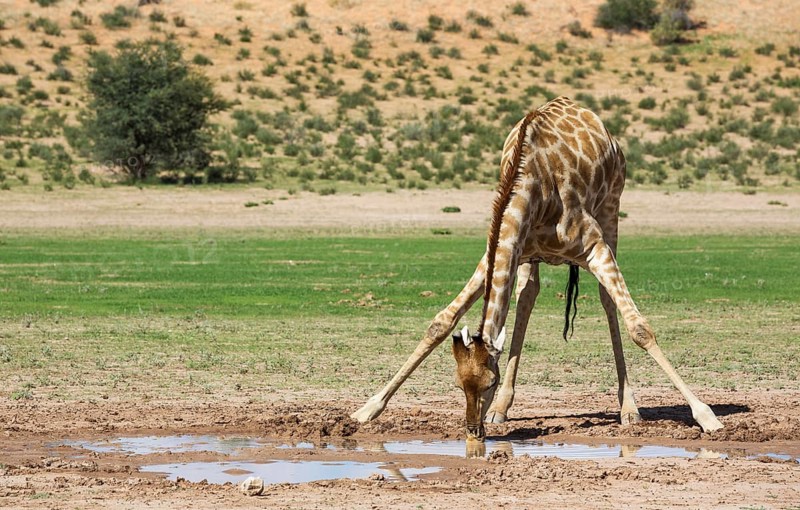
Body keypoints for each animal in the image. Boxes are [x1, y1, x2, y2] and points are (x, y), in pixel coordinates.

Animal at [351, 96, 724, 439]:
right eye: (459, 384)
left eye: (489, 382)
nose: (473, 430)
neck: (534, 186)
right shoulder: (501, 249)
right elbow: (441, 322)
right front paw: (366, 410)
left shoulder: (594, 246)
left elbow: (640, 328)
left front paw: (706, 416)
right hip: (529, 258)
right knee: (527, 296)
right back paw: (501, 410)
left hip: (611, 208)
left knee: (607, 300)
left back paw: (628, 410)